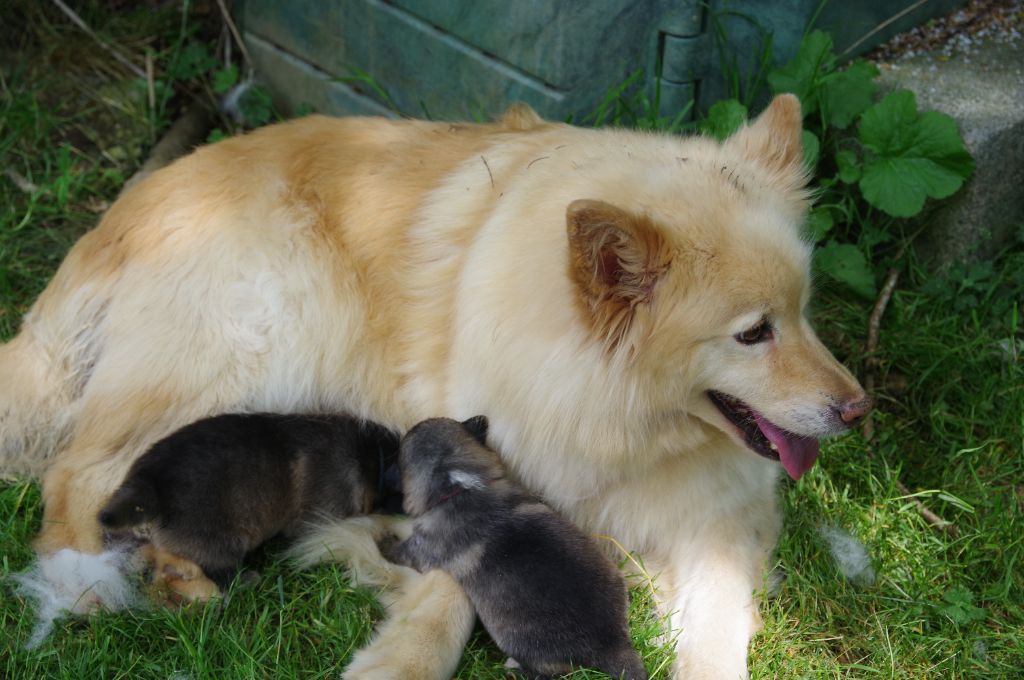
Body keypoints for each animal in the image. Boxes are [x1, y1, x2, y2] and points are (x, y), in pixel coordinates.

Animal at [385, 413, 647, 680]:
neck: (457, 486)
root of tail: (612, 643)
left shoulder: (419, 549)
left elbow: (397, 550)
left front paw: (383, 540)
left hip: (524, 647)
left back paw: (514, 667)